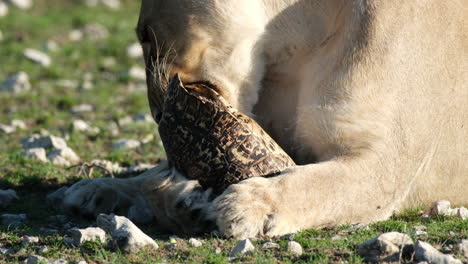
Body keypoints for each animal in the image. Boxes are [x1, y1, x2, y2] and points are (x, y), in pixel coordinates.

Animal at [56, 0, 466, 239]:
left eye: (144, 36)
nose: (157, 110)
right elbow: (156, 174)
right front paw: (99, 189)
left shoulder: (387, 165)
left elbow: (317, 184)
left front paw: (246, 205)